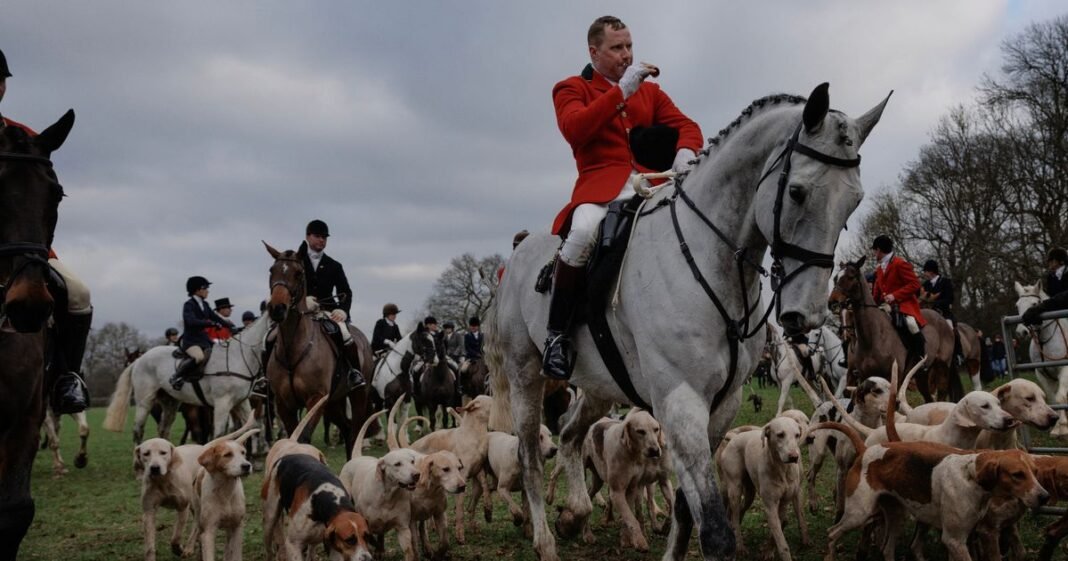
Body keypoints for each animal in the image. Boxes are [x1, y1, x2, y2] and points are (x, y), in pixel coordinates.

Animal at [102, 313, 270, 442]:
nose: (263, 381)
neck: (237, 357)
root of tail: (139, 361)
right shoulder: (221, 403)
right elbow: (216, 434)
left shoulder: (238, 402)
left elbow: (250, 427)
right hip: (145, 402)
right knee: (139, 431)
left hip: (170, 403)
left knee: (163, 430)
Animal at [263, 242, 374, 456]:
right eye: (271, 270)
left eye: (298, 273)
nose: (277, 309)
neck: (293, 348)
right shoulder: (283, 403)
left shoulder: (316, 399)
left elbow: (302, 438)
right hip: (333, 401)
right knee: (347, 428)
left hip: (358, 395)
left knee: (355, 430)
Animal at [488, 84, 889, 561]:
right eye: (796, 192)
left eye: (855, 200)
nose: (804, 314)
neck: (710, 260)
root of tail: (520, 252)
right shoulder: (681, 403)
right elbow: (714, 529)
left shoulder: (723, 404)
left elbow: (684, 508)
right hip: (526, 376)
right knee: (531, 457)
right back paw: (546, 539)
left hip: (599, 387)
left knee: (569, 435)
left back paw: (574, 515)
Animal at [829, 257, 961, 402]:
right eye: (835, 278)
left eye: (850, 277)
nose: (832, 303)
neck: (872, 337)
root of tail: (941, 319)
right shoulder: (863, 375)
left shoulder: (893, 378)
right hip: (921, 374)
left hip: (942, 368)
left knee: (941, 394)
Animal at [1014, 281, 1068, 437]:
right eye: (1017, 305)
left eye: (1034, 304)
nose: (1021, 332)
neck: (1044, 340)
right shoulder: (1042, 373)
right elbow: (1053, 399)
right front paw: (1056, 428)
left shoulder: (1064, 369)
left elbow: (1060, 397)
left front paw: (1063, 427)